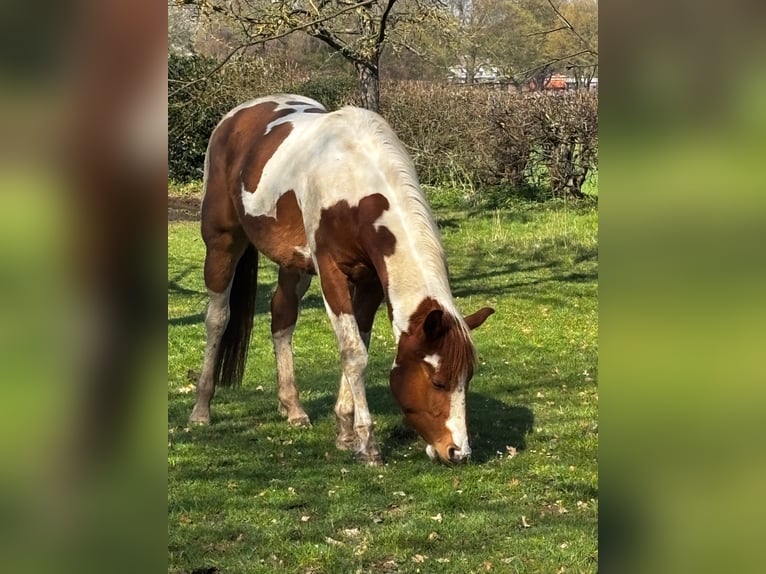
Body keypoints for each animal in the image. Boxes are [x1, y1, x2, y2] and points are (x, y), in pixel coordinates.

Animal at [189, 94, 494, 464]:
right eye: (437, 382)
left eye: (468, 379)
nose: (458, 451)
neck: (355, 182)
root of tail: (236, 116)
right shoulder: (332, 272)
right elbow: (353, 353)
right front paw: (368, 443)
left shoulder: (370, 281)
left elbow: (358, 344)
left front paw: (346, 432)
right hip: (222, 242)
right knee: (218, 318)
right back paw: (201, 410)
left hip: (293, 263)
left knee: (282, 317)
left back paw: (293, 408)